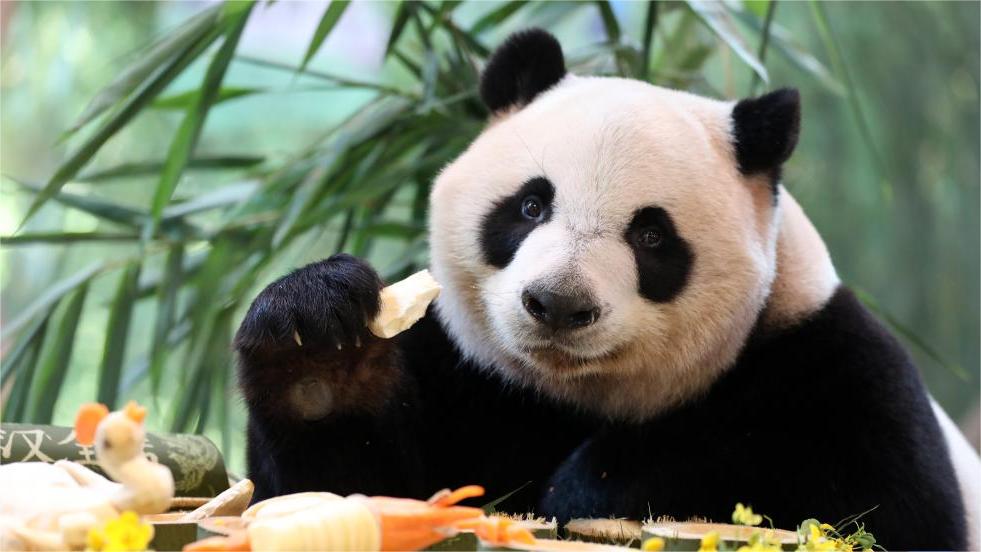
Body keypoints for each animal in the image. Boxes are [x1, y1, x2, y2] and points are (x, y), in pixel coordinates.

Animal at [237, 29, 980, 548]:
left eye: (651, 236)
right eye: (529, 205)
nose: (558, 304)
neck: (573, 395)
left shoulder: (831, 363)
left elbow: (883, 508)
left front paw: (590, 489)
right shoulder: (460, 365)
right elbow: (343, 493)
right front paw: (318, 344)